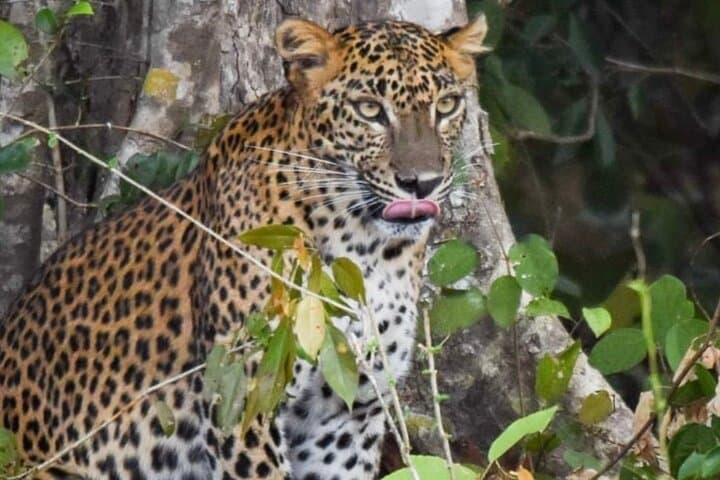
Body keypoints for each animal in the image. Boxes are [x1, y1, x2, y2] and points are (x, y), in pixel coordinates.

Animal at [0, 14, 488, 480]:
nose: (422, 183)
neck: (365, 247)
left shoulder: (345, 418)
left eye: (446, 106)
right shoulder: (242, 398)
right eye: (369, 109)